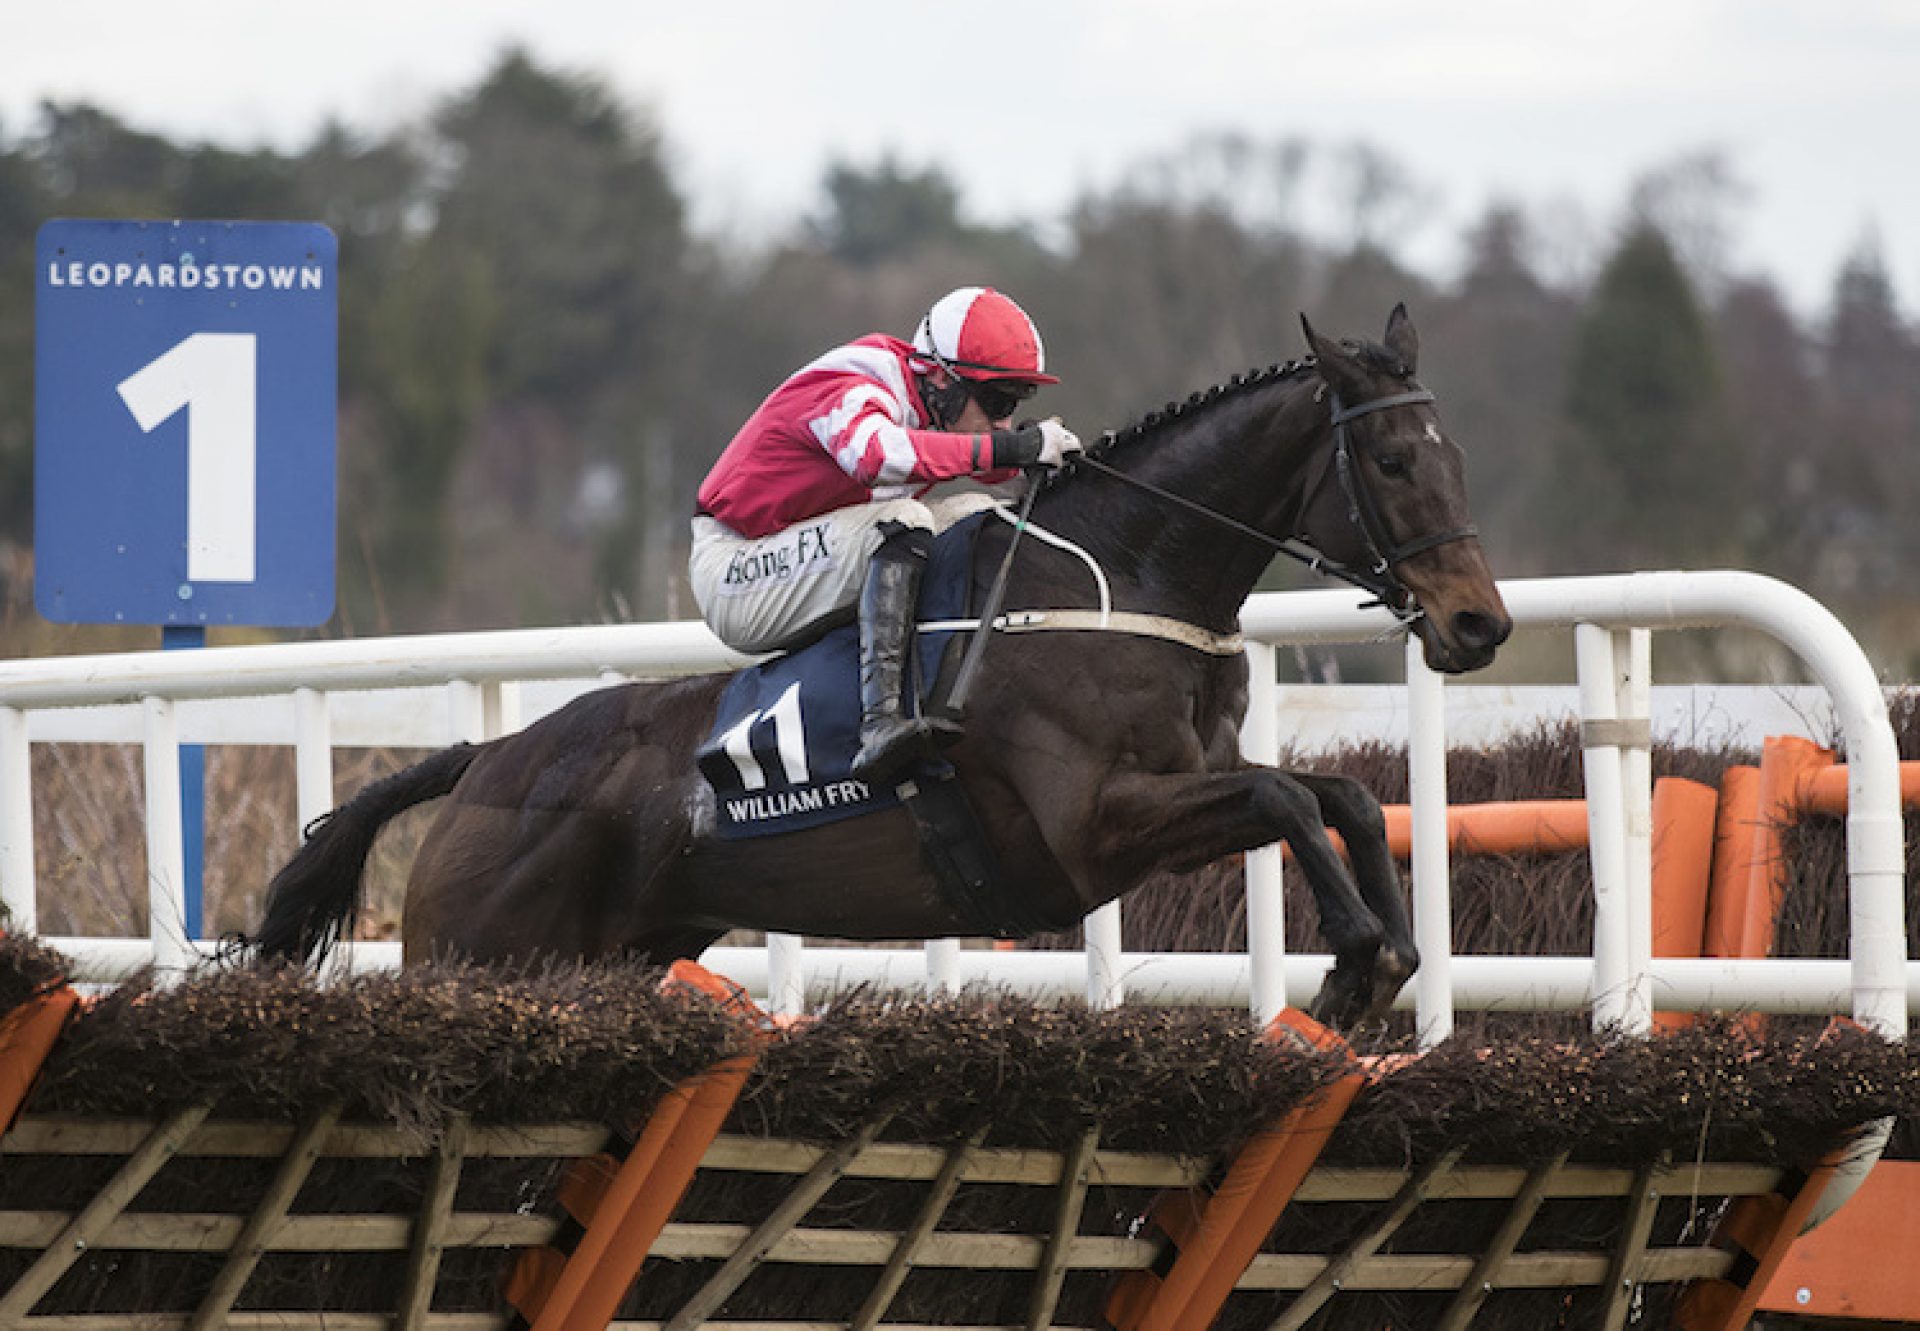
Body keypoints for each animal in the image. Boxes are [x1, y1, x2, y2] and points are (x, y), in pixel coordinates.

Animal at [255, 305, 1505, 1021]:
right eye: (1393, 460)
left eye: (1456, 454)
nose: (1478, 623)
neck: (1125, 575)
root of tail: (486, 760)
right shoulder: (1094, 823)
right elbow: (1286, 795)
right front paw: (1351, 959)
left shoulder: (1179, 784)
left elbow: (1339, 793)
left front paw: (1386, 955)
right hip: (475, 957)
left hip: (610, 959)